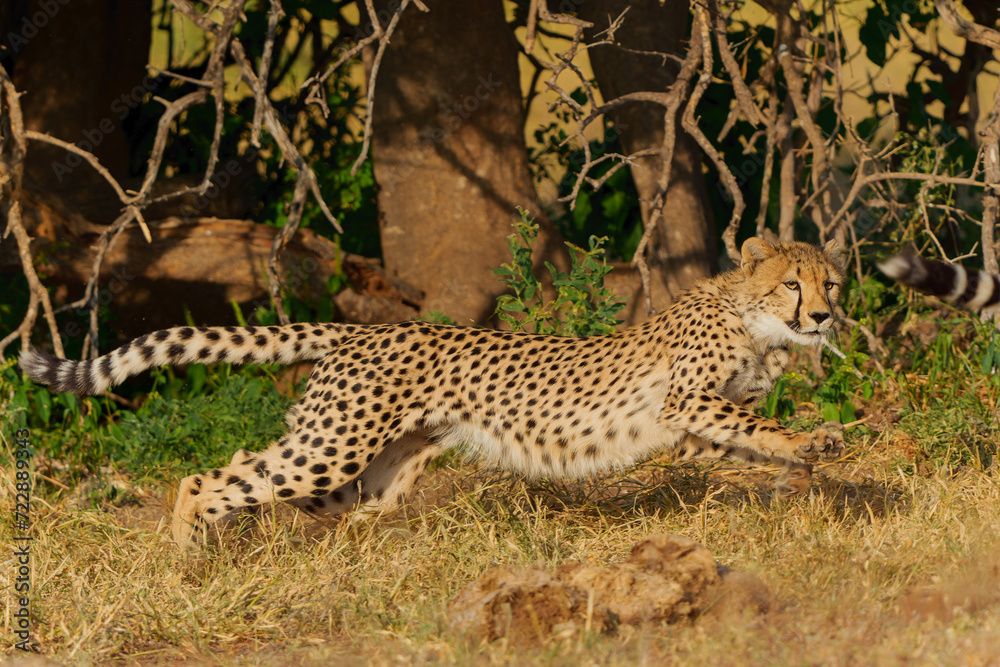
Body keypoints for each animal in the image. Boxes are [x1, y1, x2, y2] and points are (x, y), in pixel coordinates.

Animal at [20, 237, 847, 549]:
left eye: (832, 282)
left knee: (260, 477)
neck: (753, 317)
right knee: (206, 476)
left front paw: (804, 461)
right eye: (793, 283)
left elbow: (748, 435)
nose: (825, 315)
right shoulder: (687, 401)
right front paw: (812, 441)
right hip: (332, 445)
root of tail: (361, 330)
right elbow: (757, 422)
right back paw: (187, 555)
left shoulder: (693, 426)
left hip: (365, 473)